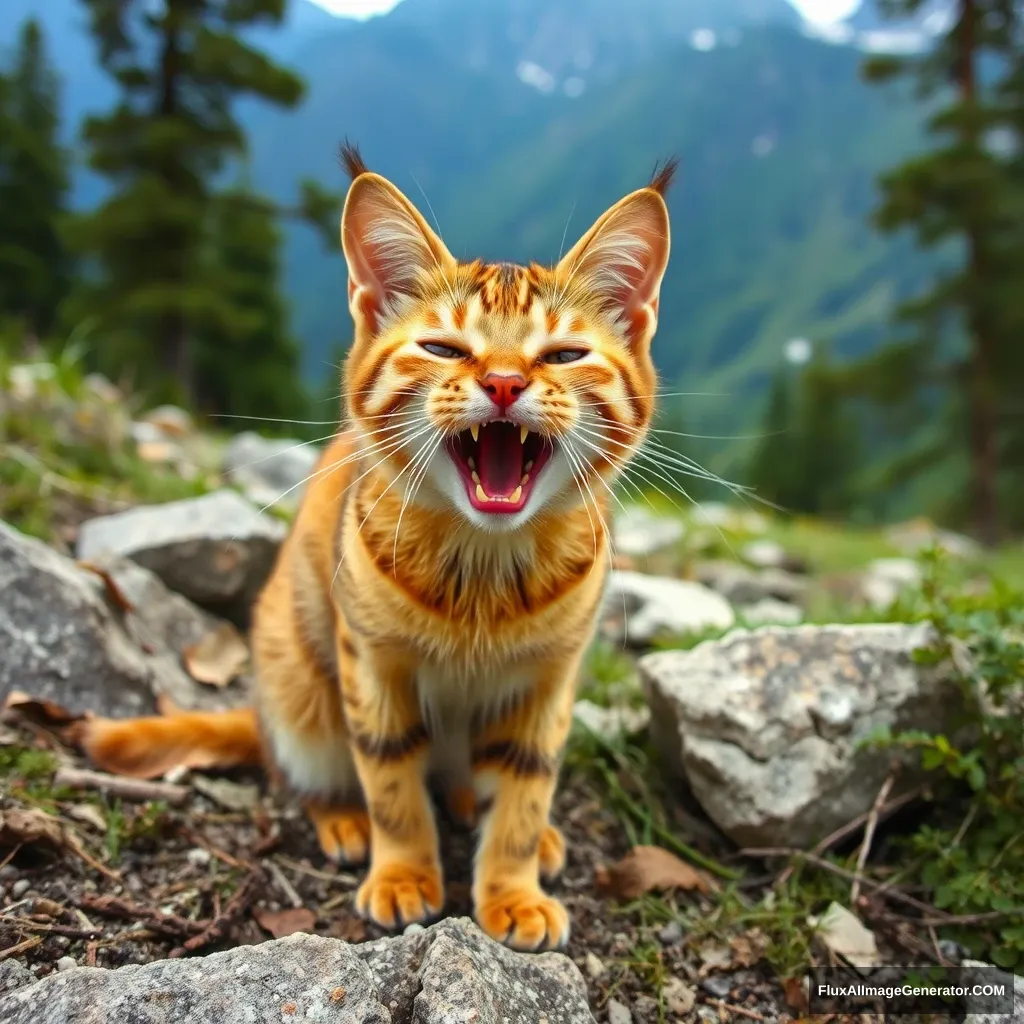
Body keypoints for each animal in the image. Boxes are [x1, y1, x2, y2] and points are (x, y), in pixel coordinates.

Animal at [83, 144, 675, 950]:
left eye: (564, 354)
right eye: (443, 347)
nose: (503, 382)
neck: (482, 577)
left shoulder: (550, 680)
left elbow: (525, 793)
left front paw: (513, 883)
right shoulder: (371, 662)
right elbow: (392, 783)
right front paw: (403, 872)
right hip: (296, 681)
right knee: (303, 770)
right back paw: (341, 817)